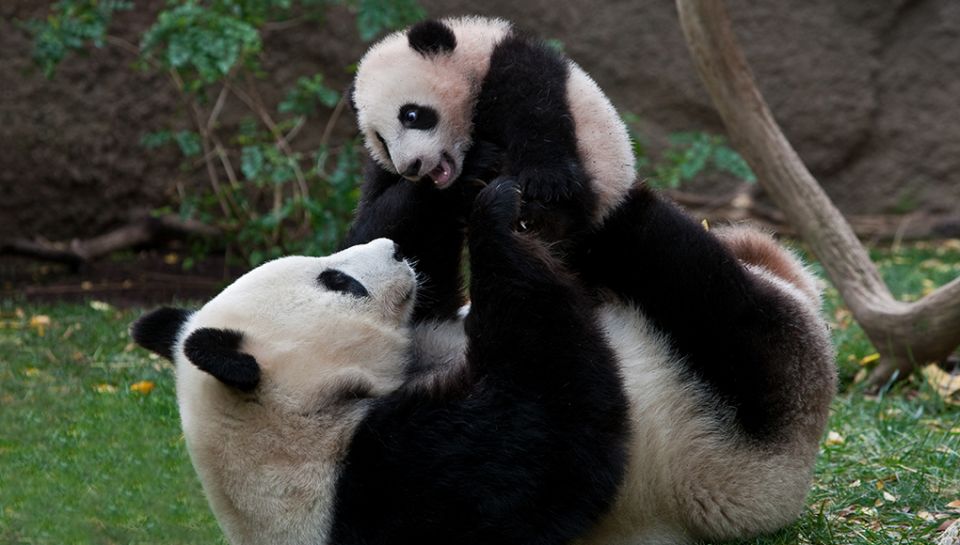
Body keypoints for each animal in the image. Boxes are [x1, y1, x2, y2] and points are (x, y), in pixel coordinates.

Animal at [350, 16, 636, 245]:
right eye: (381, 141)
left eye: (411, 115)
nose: (411, 167)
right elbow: (370, 230)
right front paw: (480, 162)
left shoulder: (515, 67)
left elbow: (536, 111)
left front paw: (545, 181)